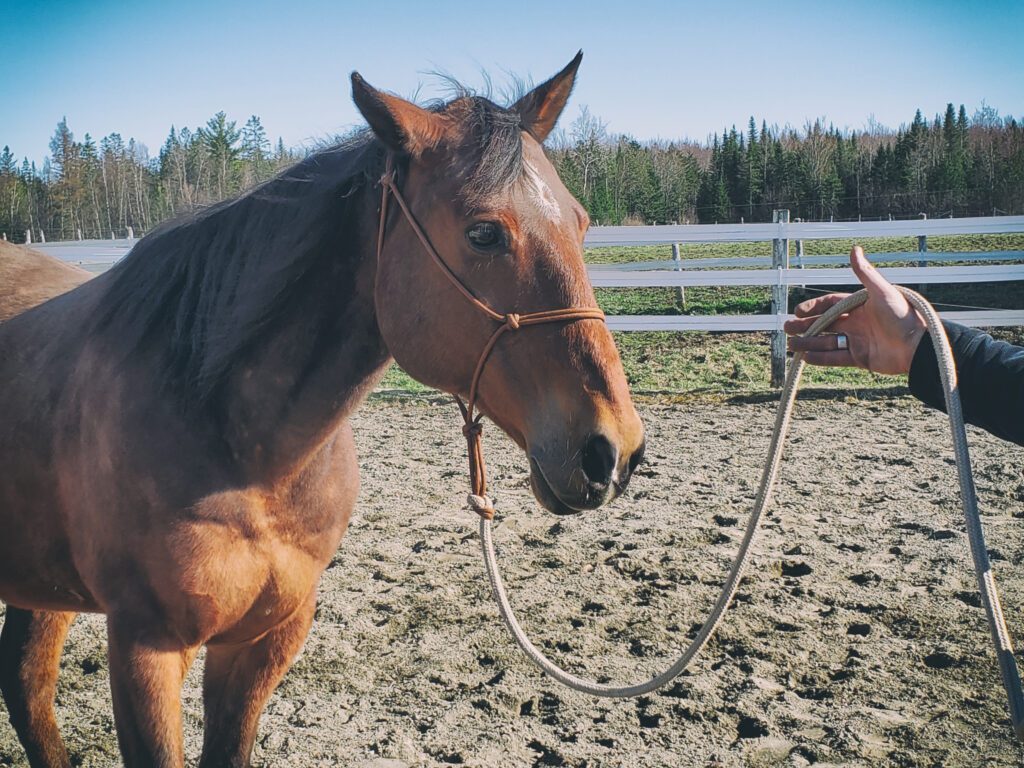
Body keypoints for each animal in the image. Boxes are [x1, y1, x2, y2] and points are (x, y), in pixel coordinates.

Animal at [0, 51, 638, 765]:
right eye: (483, 233)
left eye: (581, 223)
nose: (612, 448)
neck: (235, 439)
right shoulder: (145, 650)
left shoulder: (265, 641)